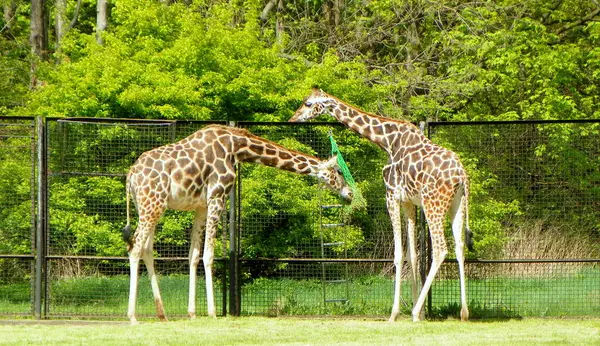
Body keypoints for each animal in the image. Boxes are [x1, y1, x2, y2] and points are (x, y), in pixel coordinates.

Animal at [121, 124, 352, 324]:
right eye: (339, 172)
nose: (349, 194)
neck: (236, 147)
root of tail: (131, 175)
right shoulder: (217, 196)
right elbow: (208, 255)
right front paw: (213, 312)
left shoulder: (201, 206)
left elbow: (193, 256)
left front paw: (192, 313)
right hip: (152, 204)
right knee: (135, 248)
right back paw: (132, 317)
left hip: (151, 206)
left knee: (146, 249)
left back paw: (162, 314)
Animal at [290, 87, 474, 322]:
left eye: (308, 103)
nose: (293, 119)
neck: (387, 141)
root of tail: (461, 175)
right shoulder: (409, 202)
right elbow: (413, 255)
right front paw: (418, 312)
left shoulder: (391, 195)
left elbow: (398, 255)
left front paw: (396, 313)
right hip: (456, 204)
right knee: (460, 248)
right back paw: (463, 312)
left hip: (433, 202)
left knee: (441, 249)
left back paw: (416, 311)